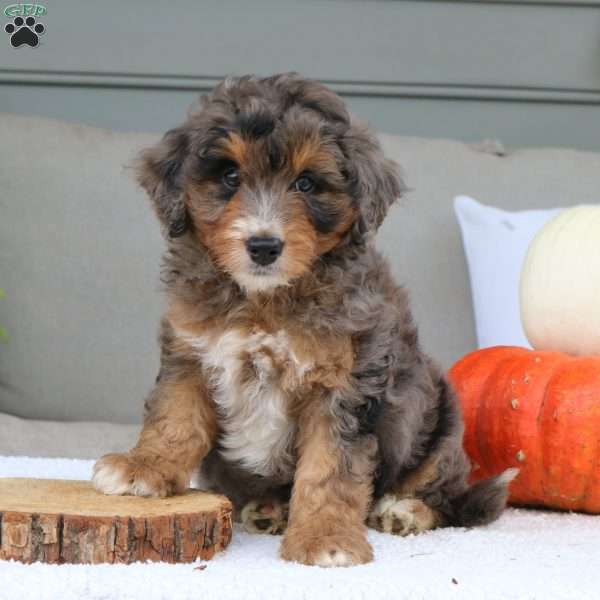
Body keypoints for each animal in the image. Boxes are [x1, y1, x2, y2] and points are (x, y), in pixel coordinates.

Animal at [94, 74, 516, 568]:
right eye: (230, 176)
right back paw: (269, 508)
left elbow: (330, 468)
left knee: (447, 497)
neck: (263, 300)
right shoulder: (190, 352)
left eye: (308, 183)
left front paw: (325, 537)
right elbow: (174, 417)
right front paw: (144, 468)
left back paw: (404, 511)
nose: (263, 246)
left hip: (441, 425)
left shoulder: (344, 384)